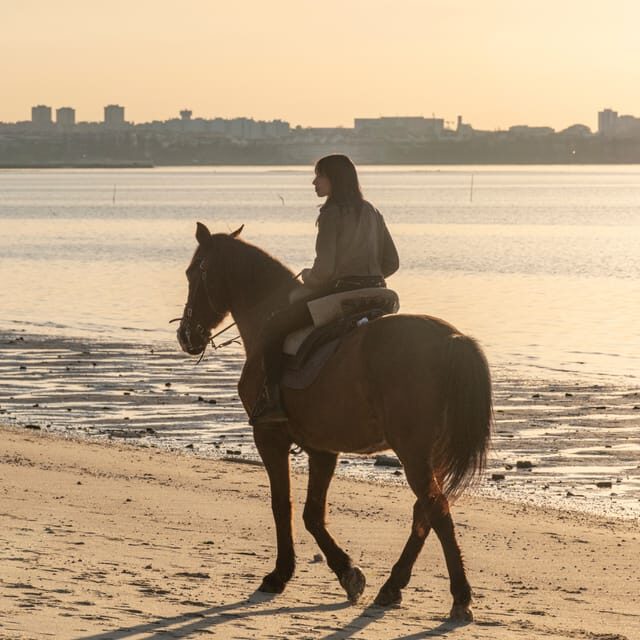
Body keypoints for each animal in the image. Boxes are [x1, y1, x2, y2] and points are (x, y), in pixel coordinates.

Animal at [177, 222, 492, 622]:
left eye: (193, 273)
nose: (186, 335)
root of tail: (453, 338)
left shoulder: (269, 436)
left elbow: (282, 505)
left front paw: (281, 574)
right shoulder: (322, 450)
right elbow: (312, 513)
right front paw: (347, 572)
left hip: (414, 453)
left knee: (437, 510)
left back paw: (460, 596)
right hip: (428, 454)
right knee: (425, 511)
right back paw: (392, 586)